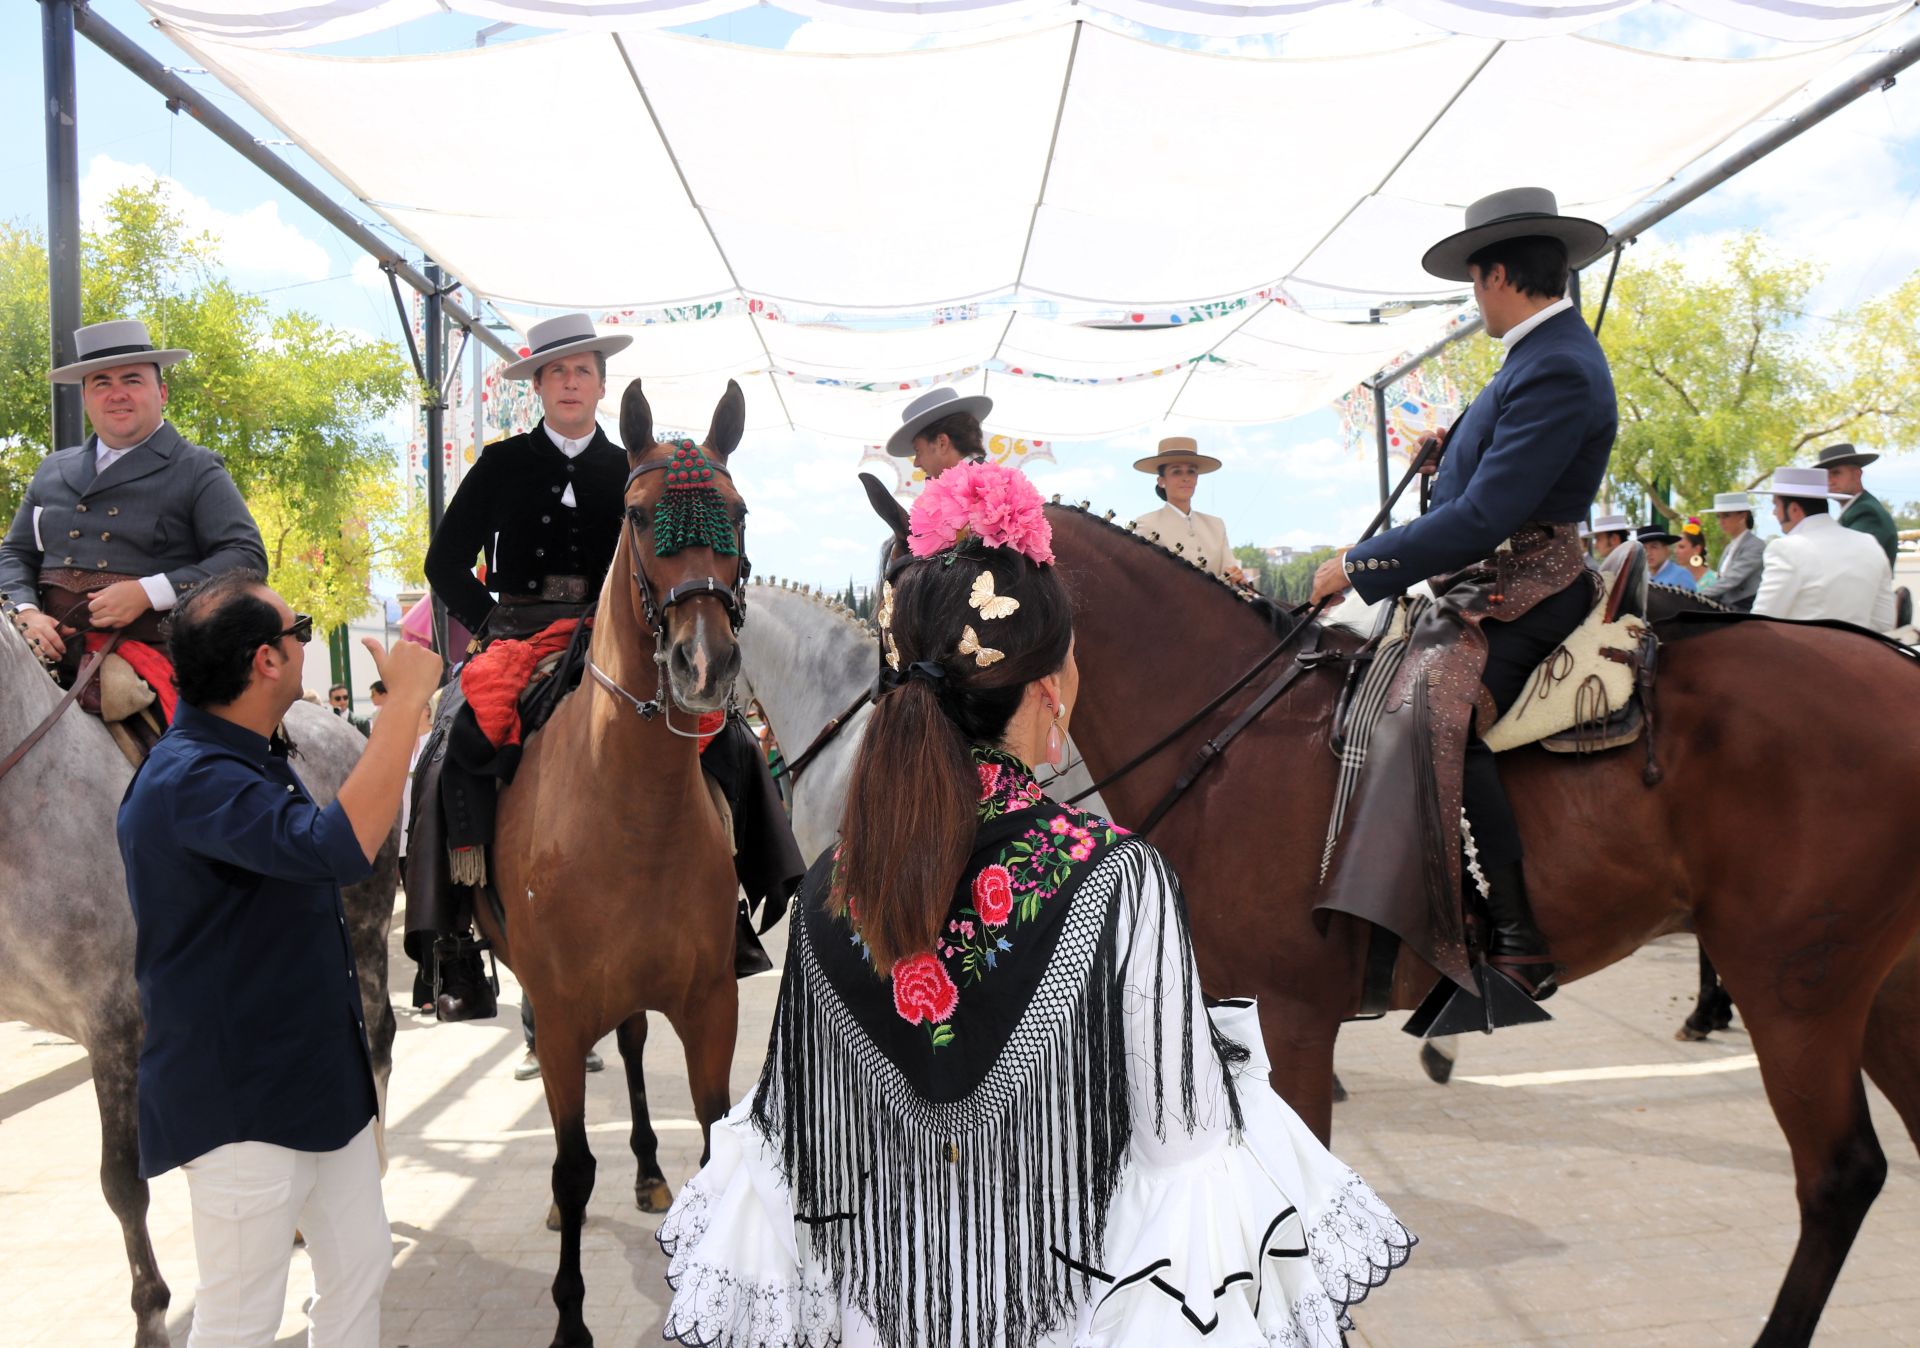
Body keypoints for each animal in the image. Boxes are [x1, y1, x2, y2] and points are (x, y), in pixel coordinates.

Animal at [476, 380, 744, 1348]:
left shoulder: (710, 1005)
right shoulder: (558, 1019)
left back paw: (648, 1171)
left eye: (740, 512)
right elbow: (567, 1164)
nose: (703, 663)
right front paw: (570, 1321)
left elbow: (715, 1138)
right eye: (637, 513)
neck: (631, 814)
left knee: (628, 1048)